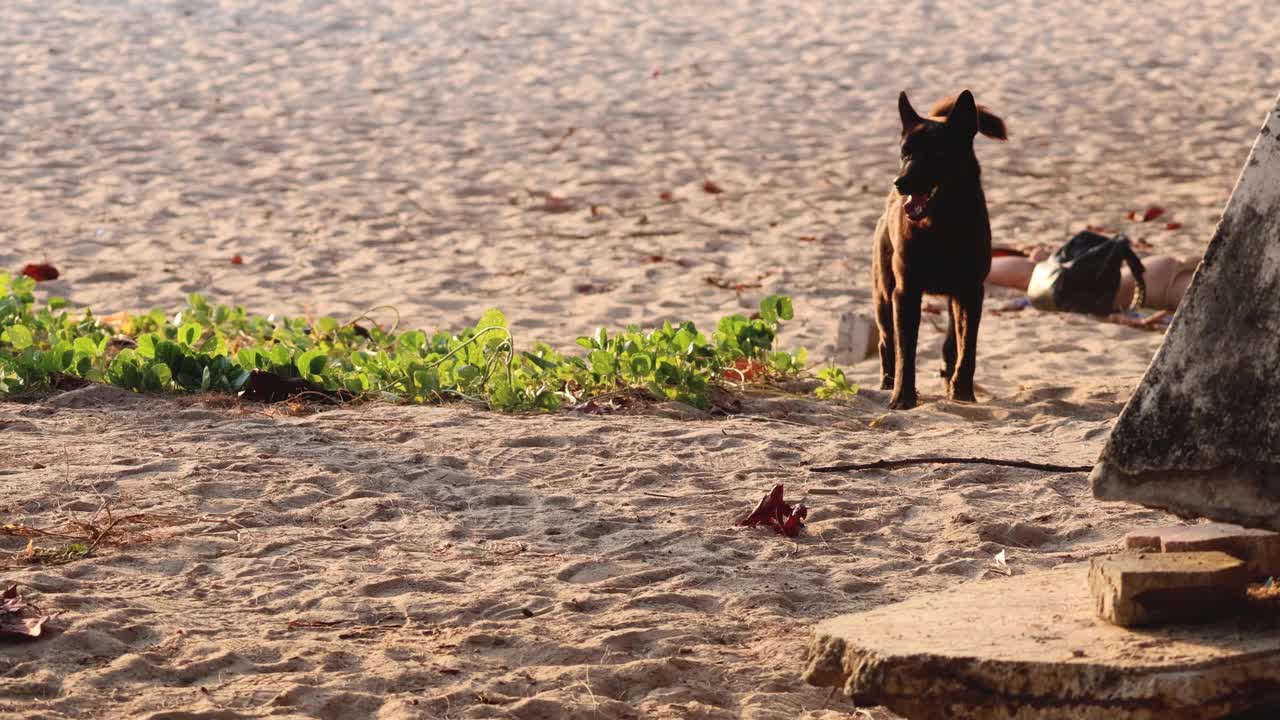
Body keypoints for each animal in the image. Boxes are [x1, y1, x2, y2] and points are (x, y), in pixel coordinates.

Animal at [875, 89, 1003, 407]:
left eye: (936, 154)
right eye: (905, 152)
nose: (899, 182)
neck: (941, 224)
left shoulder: (971, 291)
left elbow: (967, 347)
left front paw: (963, 392)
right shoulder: (905, 292)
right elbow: (906, 350)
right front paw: (902, 397)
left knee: (952, 339)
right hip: (883, 294)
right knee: (887, 340)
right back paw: (887, 382)